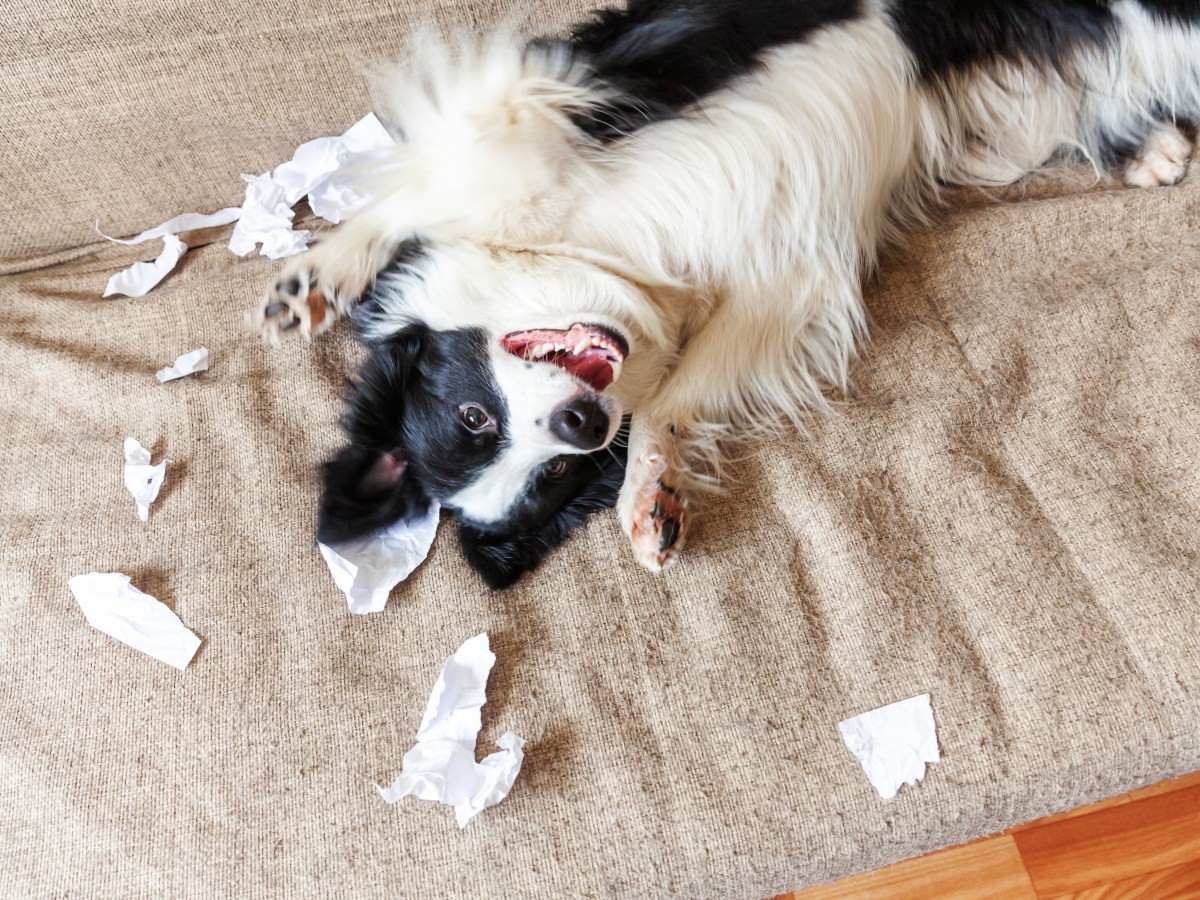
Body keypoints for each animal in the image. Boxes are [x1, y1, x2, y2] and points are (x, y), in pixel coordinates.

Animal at [250, 0, 1200, 588]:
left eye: (472, 416)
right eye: (556, 473)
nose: (582, 424)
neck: (597, 256)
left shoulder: (551, 102)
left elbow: (425, 183)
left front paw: (319, 275)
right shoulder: (780, 290)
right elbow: (678, 397)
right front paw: (649, 499)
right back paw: (1143, 146)